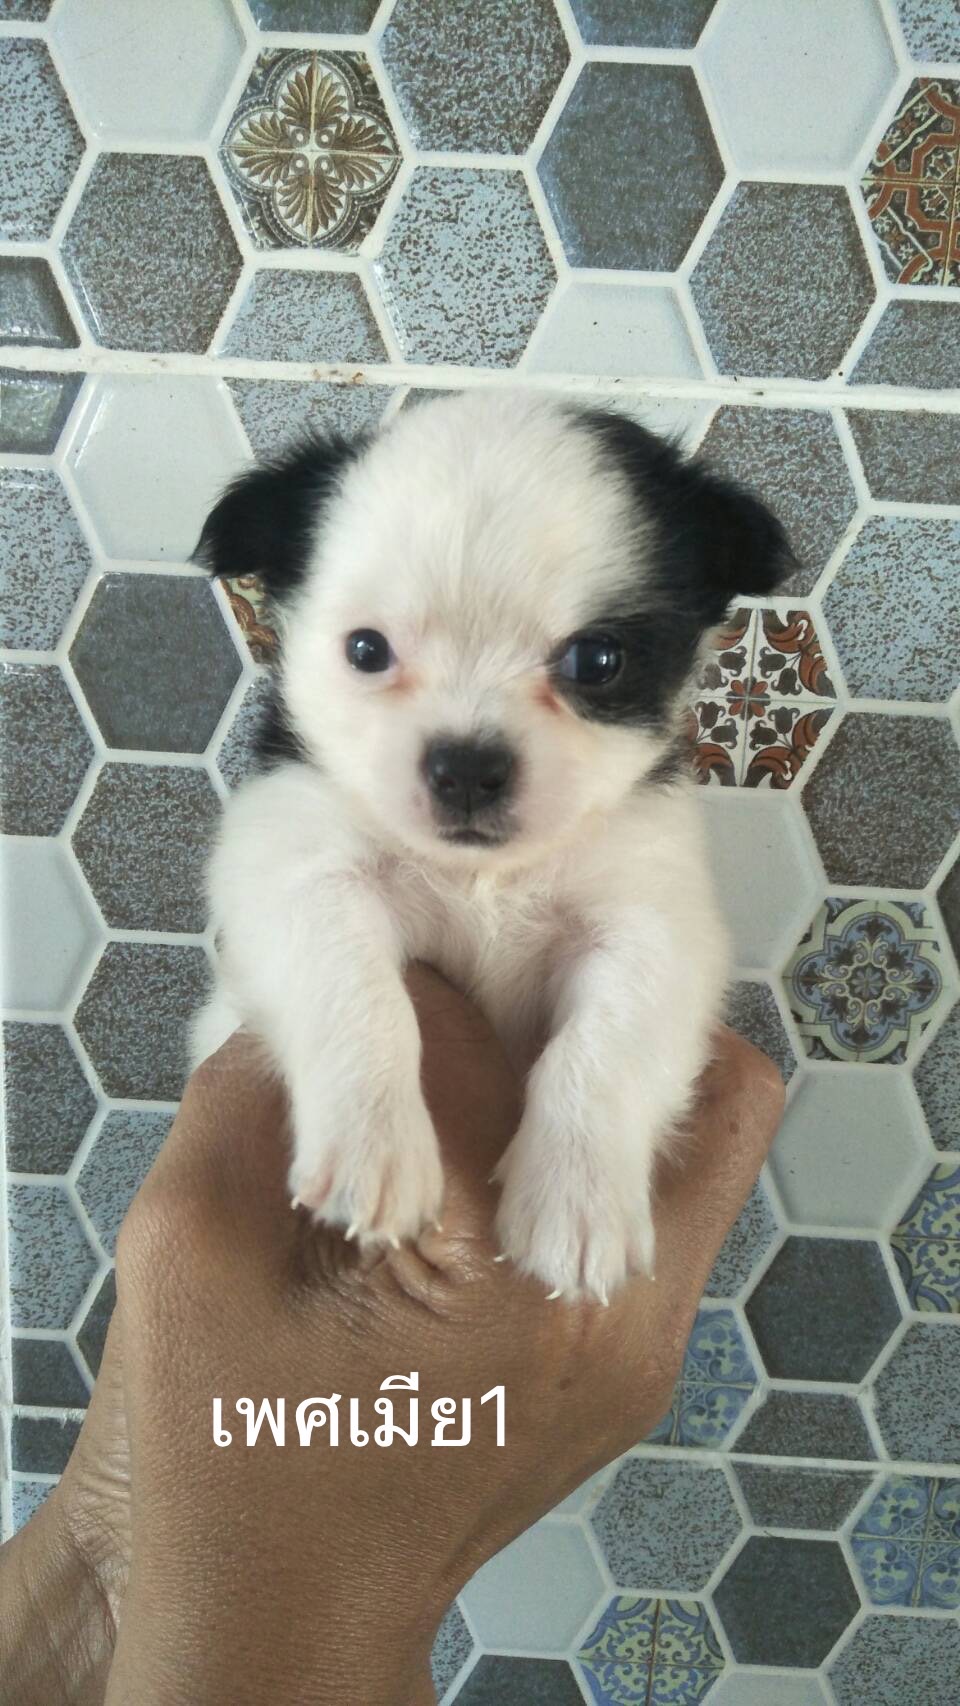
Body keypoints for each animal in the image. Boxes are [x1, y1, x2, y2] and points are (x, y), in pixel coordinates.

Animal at [191, 390, 790, 1302]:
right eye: (366, 650)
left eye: (598, 659)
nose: (467, 767)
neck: (484, 874)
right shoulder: (295, 863)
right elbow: (356, 991)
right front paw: (373, 1147)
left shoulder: (653, 921)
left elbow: (607, 1044)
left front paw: (578, 1199)